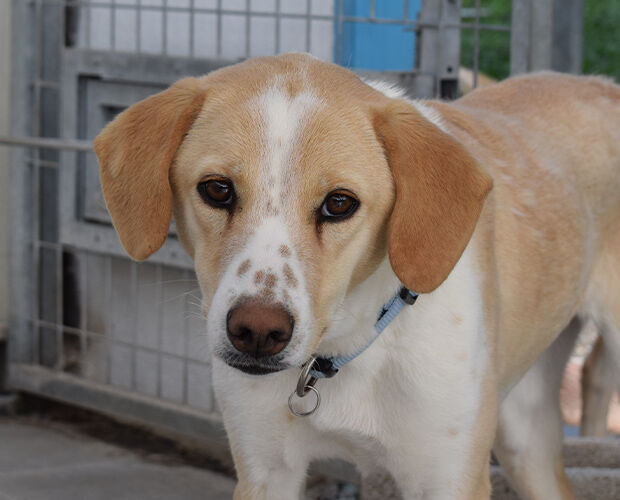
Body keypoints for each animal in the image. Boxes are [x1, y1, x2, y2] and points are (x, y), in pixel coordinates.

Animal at [94, 54, 620, 499]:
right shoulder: (265, 471)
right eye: (217, 189)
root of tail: (603, 84)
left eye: (340, 203)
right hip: (524, 433)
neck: (345, 354)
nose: (257, 333)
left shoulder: (449, 478)